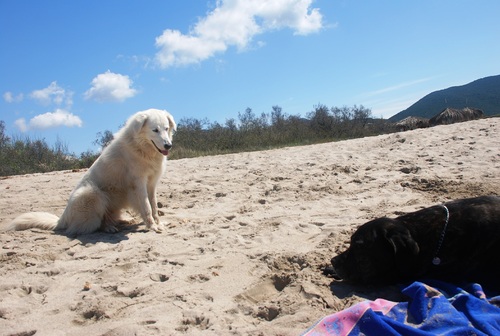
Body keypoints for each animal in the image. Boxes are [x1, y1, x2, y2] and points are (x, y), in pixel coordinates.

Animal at [7, 109, 177, 235]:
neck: (142, 148)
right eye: (155, 130)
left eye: (166, 129)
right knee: (94, 225)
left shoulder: (152, 184)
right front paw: (152, 226)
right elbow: (147, 207)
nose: (168, 145)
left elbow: (154, 206)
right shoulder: (138, 184)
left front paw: (159, 223)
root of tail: (61, 219)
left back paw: (124, 221)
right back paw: (109, 228)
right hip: (93, 193)